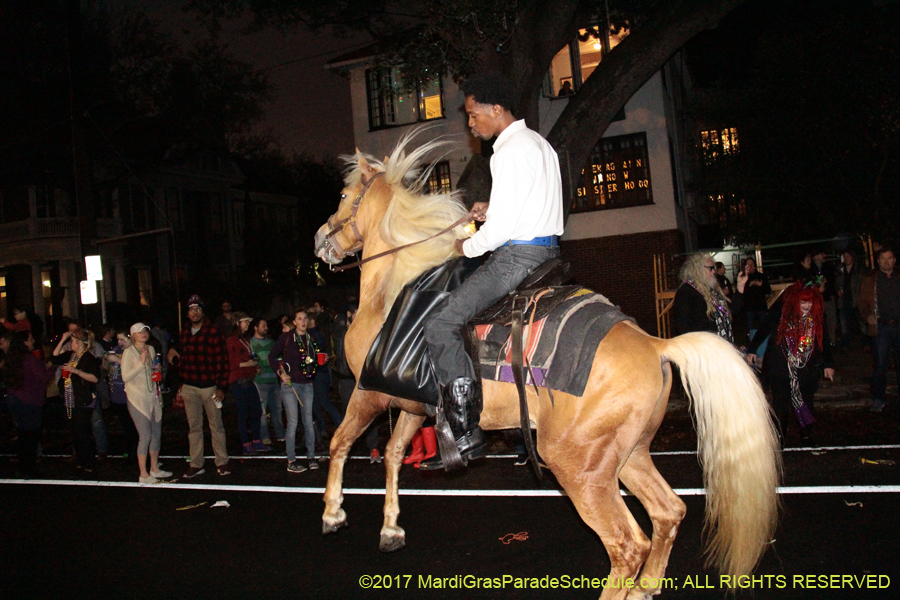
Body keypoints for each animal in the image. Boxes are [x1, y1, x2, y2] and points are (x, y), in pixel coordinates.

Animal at [312, 132, 776, 600]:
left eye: (344, 196)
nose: (320, 239)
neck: (391, 291)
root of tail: (654, 344)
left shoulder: (369, 394)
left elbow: (339, 442)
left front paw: (332, 513)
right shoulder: (412, 403)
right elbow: (392, 454)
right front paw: (390, 529)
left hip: (578, 466)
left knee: (627, 544)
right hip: (629, 455)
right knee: (668, 512)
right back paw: (646, 587)